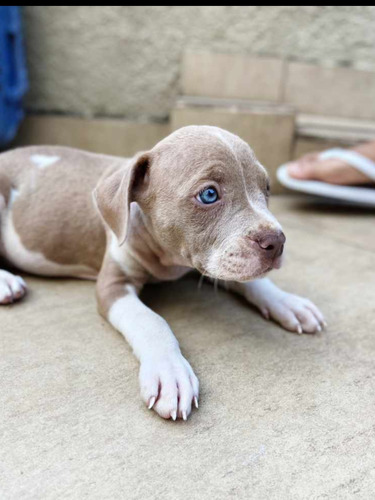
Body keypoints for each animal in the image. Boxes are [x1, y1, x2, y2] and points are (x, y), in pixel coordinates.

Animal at [0, 126, 326, 422]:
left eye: (266, 189)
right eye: (209, 194)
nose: (277, 241)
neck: (169, 260)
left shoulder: (209, 262)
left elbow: (253, 282)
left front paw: (288, 302)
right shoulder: (113, 285)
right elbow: (150, 320)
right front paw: (170, 372)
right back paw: (6, 281)